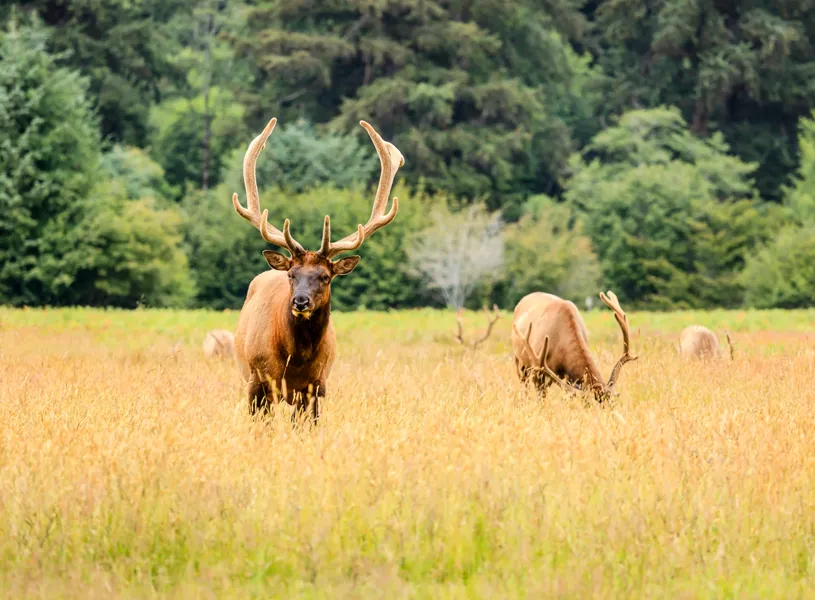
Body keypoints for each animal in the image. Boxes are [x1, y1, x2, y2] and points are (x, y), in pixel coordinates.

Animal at [232, 117, 403, 422]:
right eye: (291, 275)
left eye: (325, 277)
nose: (300, 301)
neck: (295, 360)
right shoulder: (256, 378)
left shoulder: (317, 385)